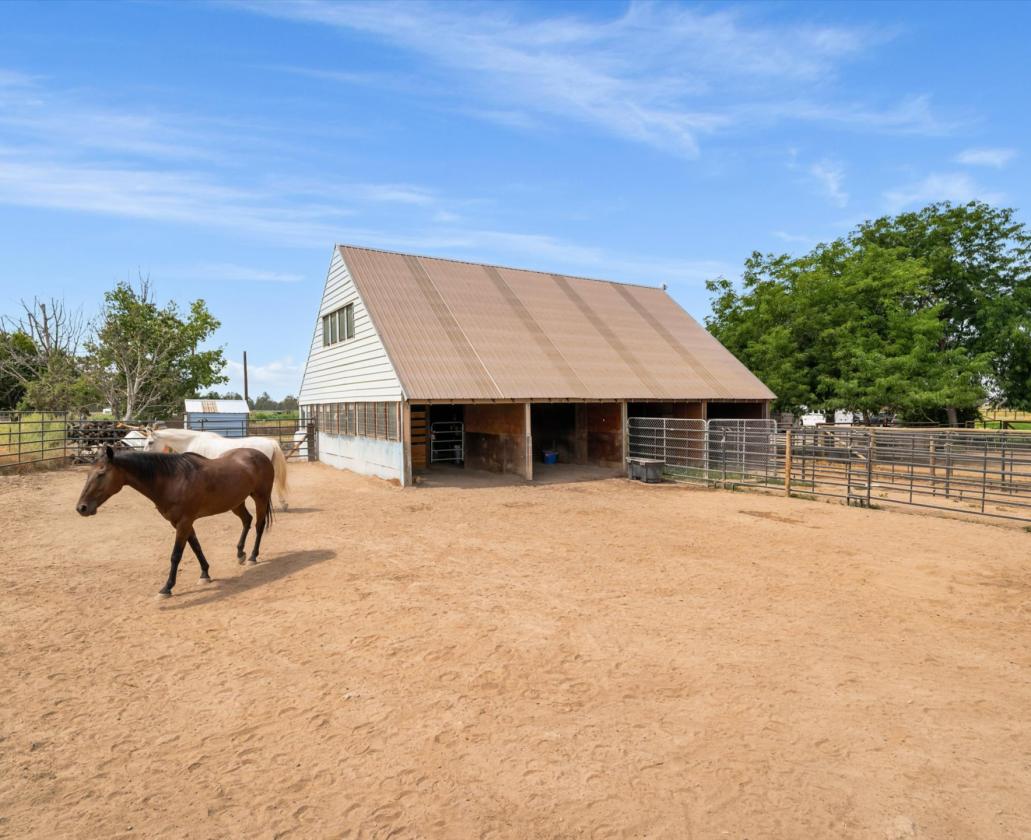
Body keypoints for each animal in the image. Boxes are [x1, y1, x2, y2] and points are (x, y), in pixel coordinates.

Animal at [76, 445, 274, 597]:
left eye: (101, 474)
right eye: (87, 474)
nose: (82, 508)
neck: (173, 480)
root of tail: (261, 455)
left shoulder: (184, 522)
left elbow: (176, 555)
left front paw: (167, 587)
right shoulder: (182, 522)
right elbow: (196, 547)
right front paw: (205, 574)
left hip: (261, 497)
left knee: (259, 525)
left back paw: (252, 556)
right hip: (236, 502)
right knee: (247, 520)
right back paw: (240, 553)